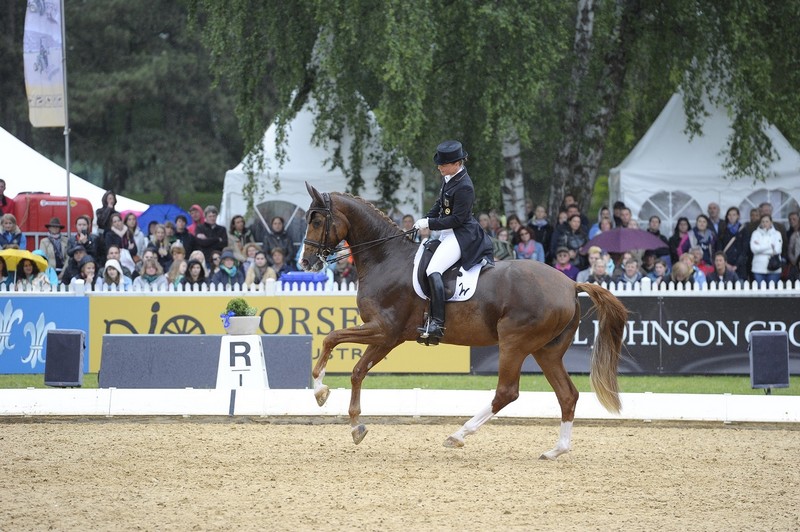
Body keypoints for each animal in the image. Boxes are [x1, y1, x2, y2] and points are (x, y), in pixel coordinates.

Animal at [300, 183, 628, 460]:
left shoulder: (383, 330)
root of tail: (570, 284)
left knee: (507, 392)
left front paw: (320, 391)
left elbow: (331, 338)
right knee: (567, 394)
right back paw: (556, 450)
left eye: (316, 221)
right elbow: (358, 371)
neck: (385, 258)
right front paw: (356, 426)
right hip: (546, 350)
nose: (305, 262)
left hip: (515, 343)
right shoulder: (389, 337)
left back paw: (458, 435)